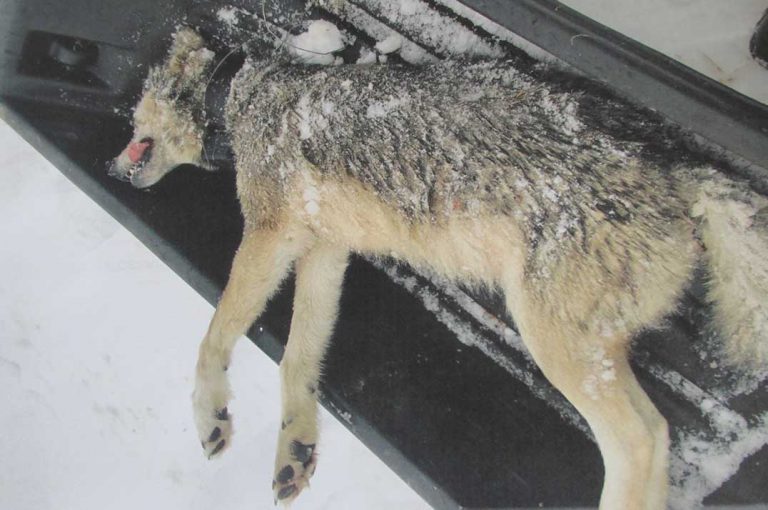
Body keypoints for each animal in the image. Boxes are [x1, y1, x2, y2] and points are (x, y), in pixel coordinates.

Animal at [109, 26, 768, 509]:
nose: (114, 169)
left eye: (135, 114)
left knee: (642, 440)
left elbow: (214, 335)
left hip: (554, 346)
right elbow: (299, 357)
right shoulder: (325, 251)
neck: (241, 95)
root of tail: (679, 168)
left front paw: (211, 417)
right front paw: (295, 449)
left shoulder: (270, 236)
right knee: (655, 439)